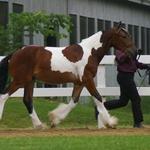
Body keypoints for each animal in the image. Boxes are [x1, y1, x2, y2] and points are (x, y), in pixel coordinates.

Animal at [0, 23, 137, 129]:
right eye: (123, 36)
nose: (135, 52)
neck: (90, 51)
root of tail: (15, 53)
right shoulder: (87, 79)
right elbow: (98, 98)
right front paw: (110, 122)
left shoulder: (79, 82)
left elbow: (73, 102)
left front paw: (54, 119)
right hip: (20, 80)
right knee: (3, 95)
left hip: (29, 81)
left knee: (27, 100)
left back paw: (39, 125)